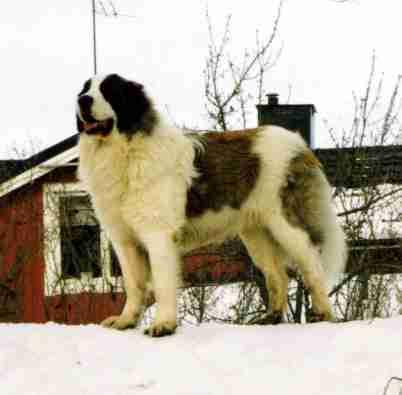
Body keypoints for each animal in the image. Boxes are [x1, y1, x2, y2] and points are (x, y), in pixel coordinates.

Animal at [77, 73, 348, 338]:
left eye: (109, 90)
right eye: (86, 88)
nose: (82, 100)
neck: (124, 152)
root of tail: (299, 143)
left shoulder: (158, 236)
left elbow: (163, 284)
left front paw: (163, 325)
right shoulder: (124, 240)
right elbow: (133, 285)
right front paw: (126, 321)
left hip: (287, 225)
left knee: (313, 267)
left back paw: (322, 315)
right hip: (257, 234)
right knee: (277, 276)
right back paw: (270, 318)